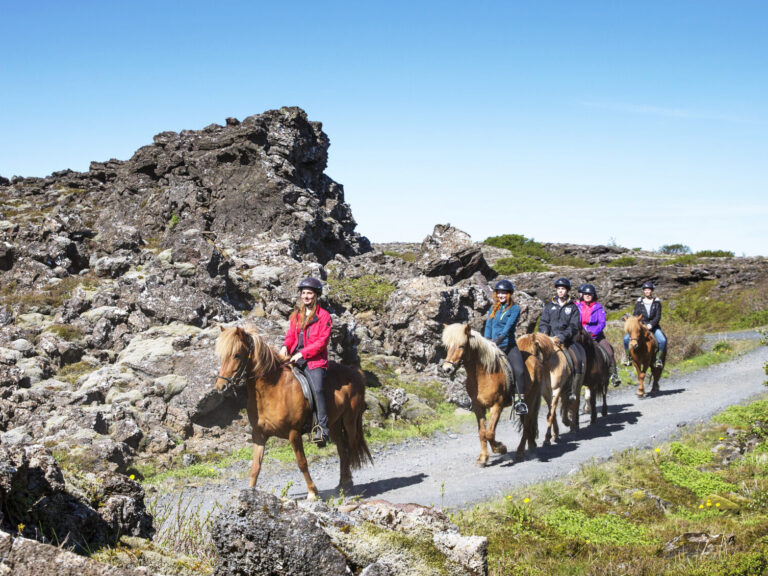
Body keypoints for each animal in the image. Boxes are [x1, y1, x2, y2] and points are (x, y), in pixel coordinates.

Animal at [214, 328, 374, 500]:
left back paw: (348, 483)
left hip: (350, 421)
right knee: (342, 450)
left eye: (236, 355)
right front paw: (250, 494)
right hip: (334, 424)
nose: (221, 386)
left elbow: (302, 462)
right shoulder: (259, 435)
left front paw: (312, 492)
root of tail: (356, 372)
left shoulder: (294, 433)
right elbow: (256, 466)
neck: (273, 389)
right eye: (222, 355)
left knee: (350, 448)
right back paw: (342, 484)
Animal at [440, 324, 544, 464]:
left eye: (461, 346)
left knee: (527, 424)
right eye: (447, 347)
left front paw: (501, 448)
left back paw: (520, 452)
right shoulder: (478, 407)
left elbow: (489, 433)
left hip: (530, 400)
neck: (484, 374)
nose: (447, 369)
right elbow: (482, 432)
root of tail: (535, 359)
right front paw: (483, 458)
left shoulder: (497, 405)